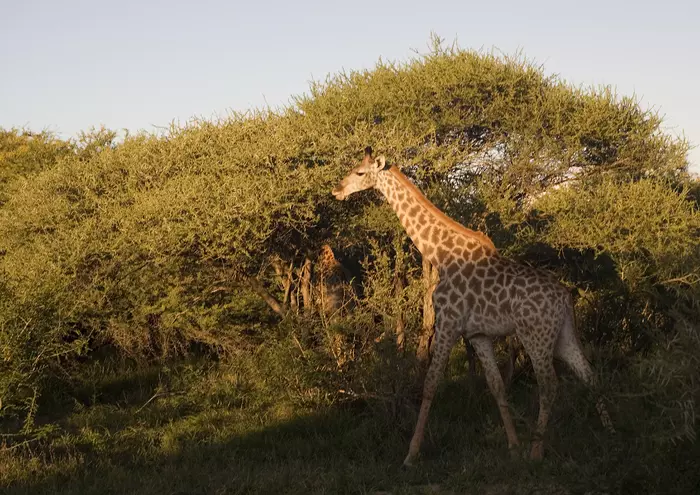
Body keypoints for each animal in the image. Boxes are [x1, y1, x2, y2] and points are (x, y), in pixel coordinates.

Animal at [332, 147, 612, 468]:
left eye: (360, 172)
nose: (337, 189)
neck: (439, 254)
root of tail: (565, 297)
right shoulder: (477, 334)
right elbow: (497, 386)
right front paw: (512, 447)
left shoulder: (448, 323)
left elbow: (430, 384)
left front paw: (411, 454)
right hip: (563, 335)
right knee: (590, 375)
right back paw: (610, 432)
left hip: (536, 336)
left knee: (550, 385)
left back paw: (537, 451)